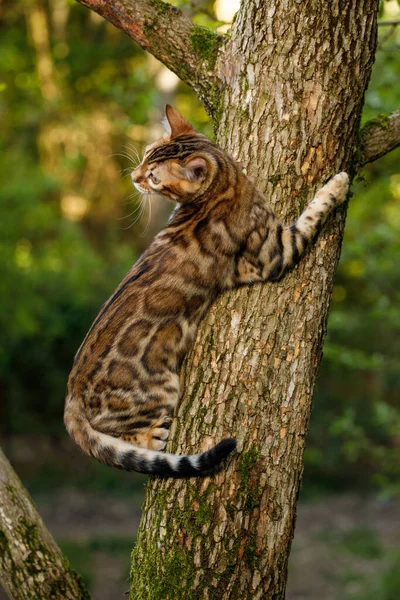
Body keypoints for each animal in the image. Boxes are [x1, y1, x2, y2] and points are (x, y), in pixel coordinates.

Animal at [64, 104, 348, 478]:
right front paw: (338, 185)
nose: (134, 177)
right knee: (127, 437)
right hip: (162, 391)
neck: (226, 183)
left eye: (153, 173)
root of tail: (70, 399)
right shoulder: (273, 253)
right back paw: (152, 439)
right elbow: (312, 215)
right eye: (146, 162)